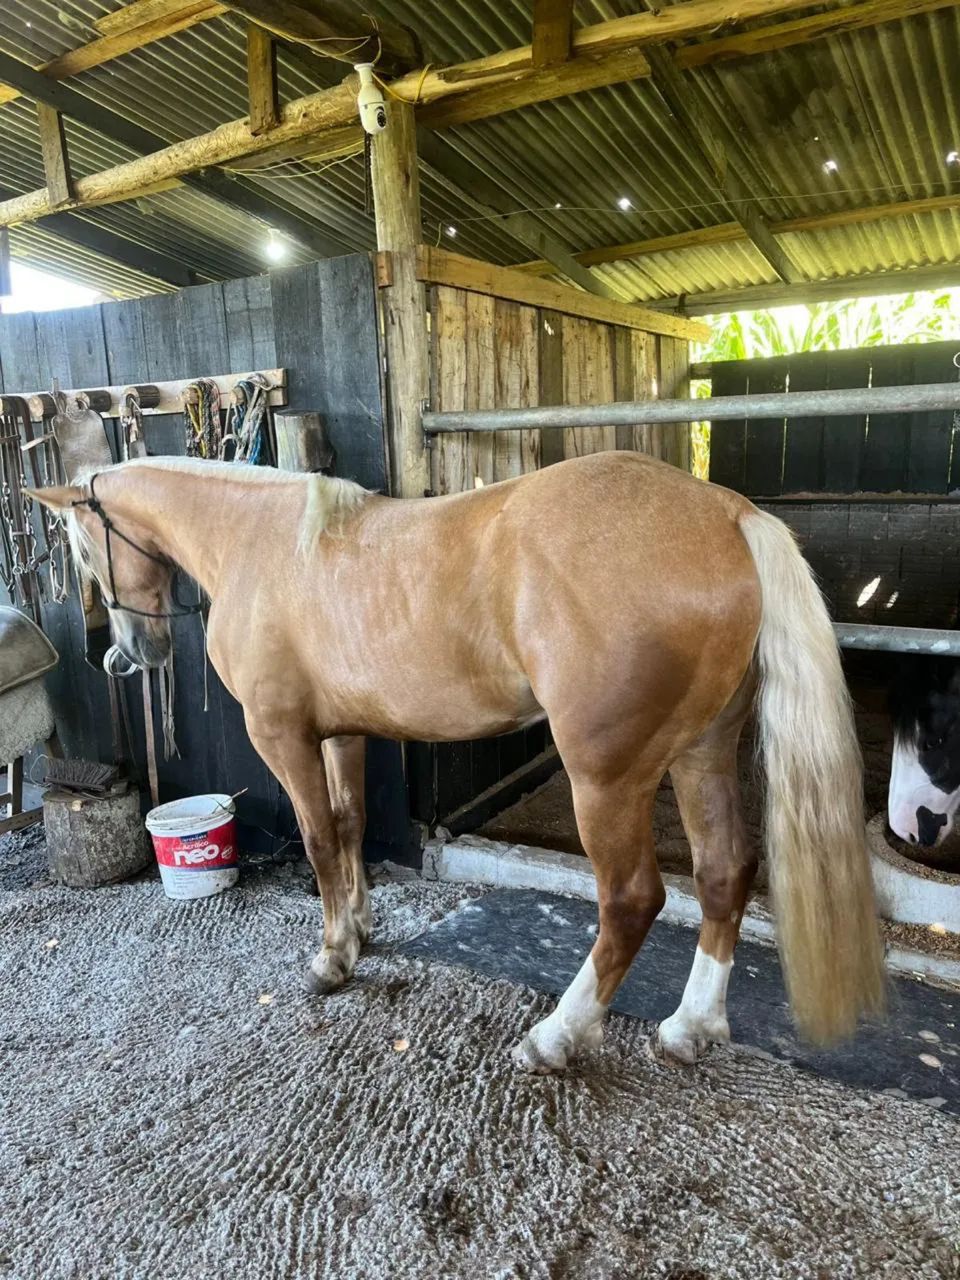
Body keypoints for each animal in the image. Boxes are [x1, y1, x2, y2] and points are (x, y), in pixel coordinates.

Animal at [32, 450, 885, 1073]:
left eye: (82, 547)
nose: (126, 655)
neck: (264, 544)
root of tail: (728, 513)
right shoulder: (340, 734)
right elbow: (350, 825)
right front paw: (361, 928)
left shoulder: (282, 736)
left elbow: (317, 840)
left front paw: (331, 960)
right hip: (702, 755)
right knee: (723, 875)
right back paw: (690, 1027)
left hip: (607, 780)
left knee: (633, 900)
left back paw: (558, 1036)